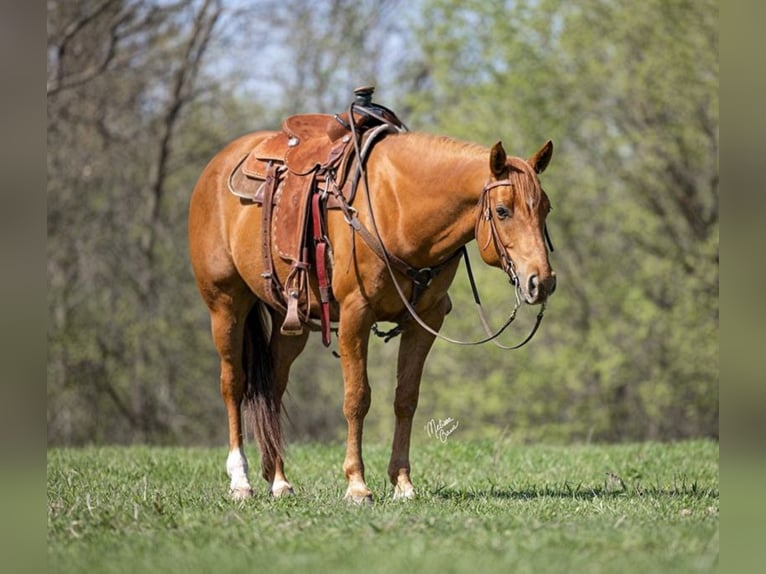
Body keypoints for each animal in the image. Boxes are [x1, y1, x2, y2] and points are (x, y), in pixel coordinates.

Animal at [189, 99, 556, 504]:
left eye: (546, 209)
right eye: (503, 211)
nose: (542, 281)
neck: (397, 208)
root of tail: (216, 166)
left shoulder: (425, 321)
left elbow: (406, 398)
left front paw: (402, 483)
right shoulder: (355, 316)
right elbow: (357, 399)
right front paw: (357, 484)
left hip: (290, 321)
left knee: (272, 387)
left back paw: (279, 480)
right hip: (225, 305)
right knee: (233, 383)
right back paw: (240, 480)